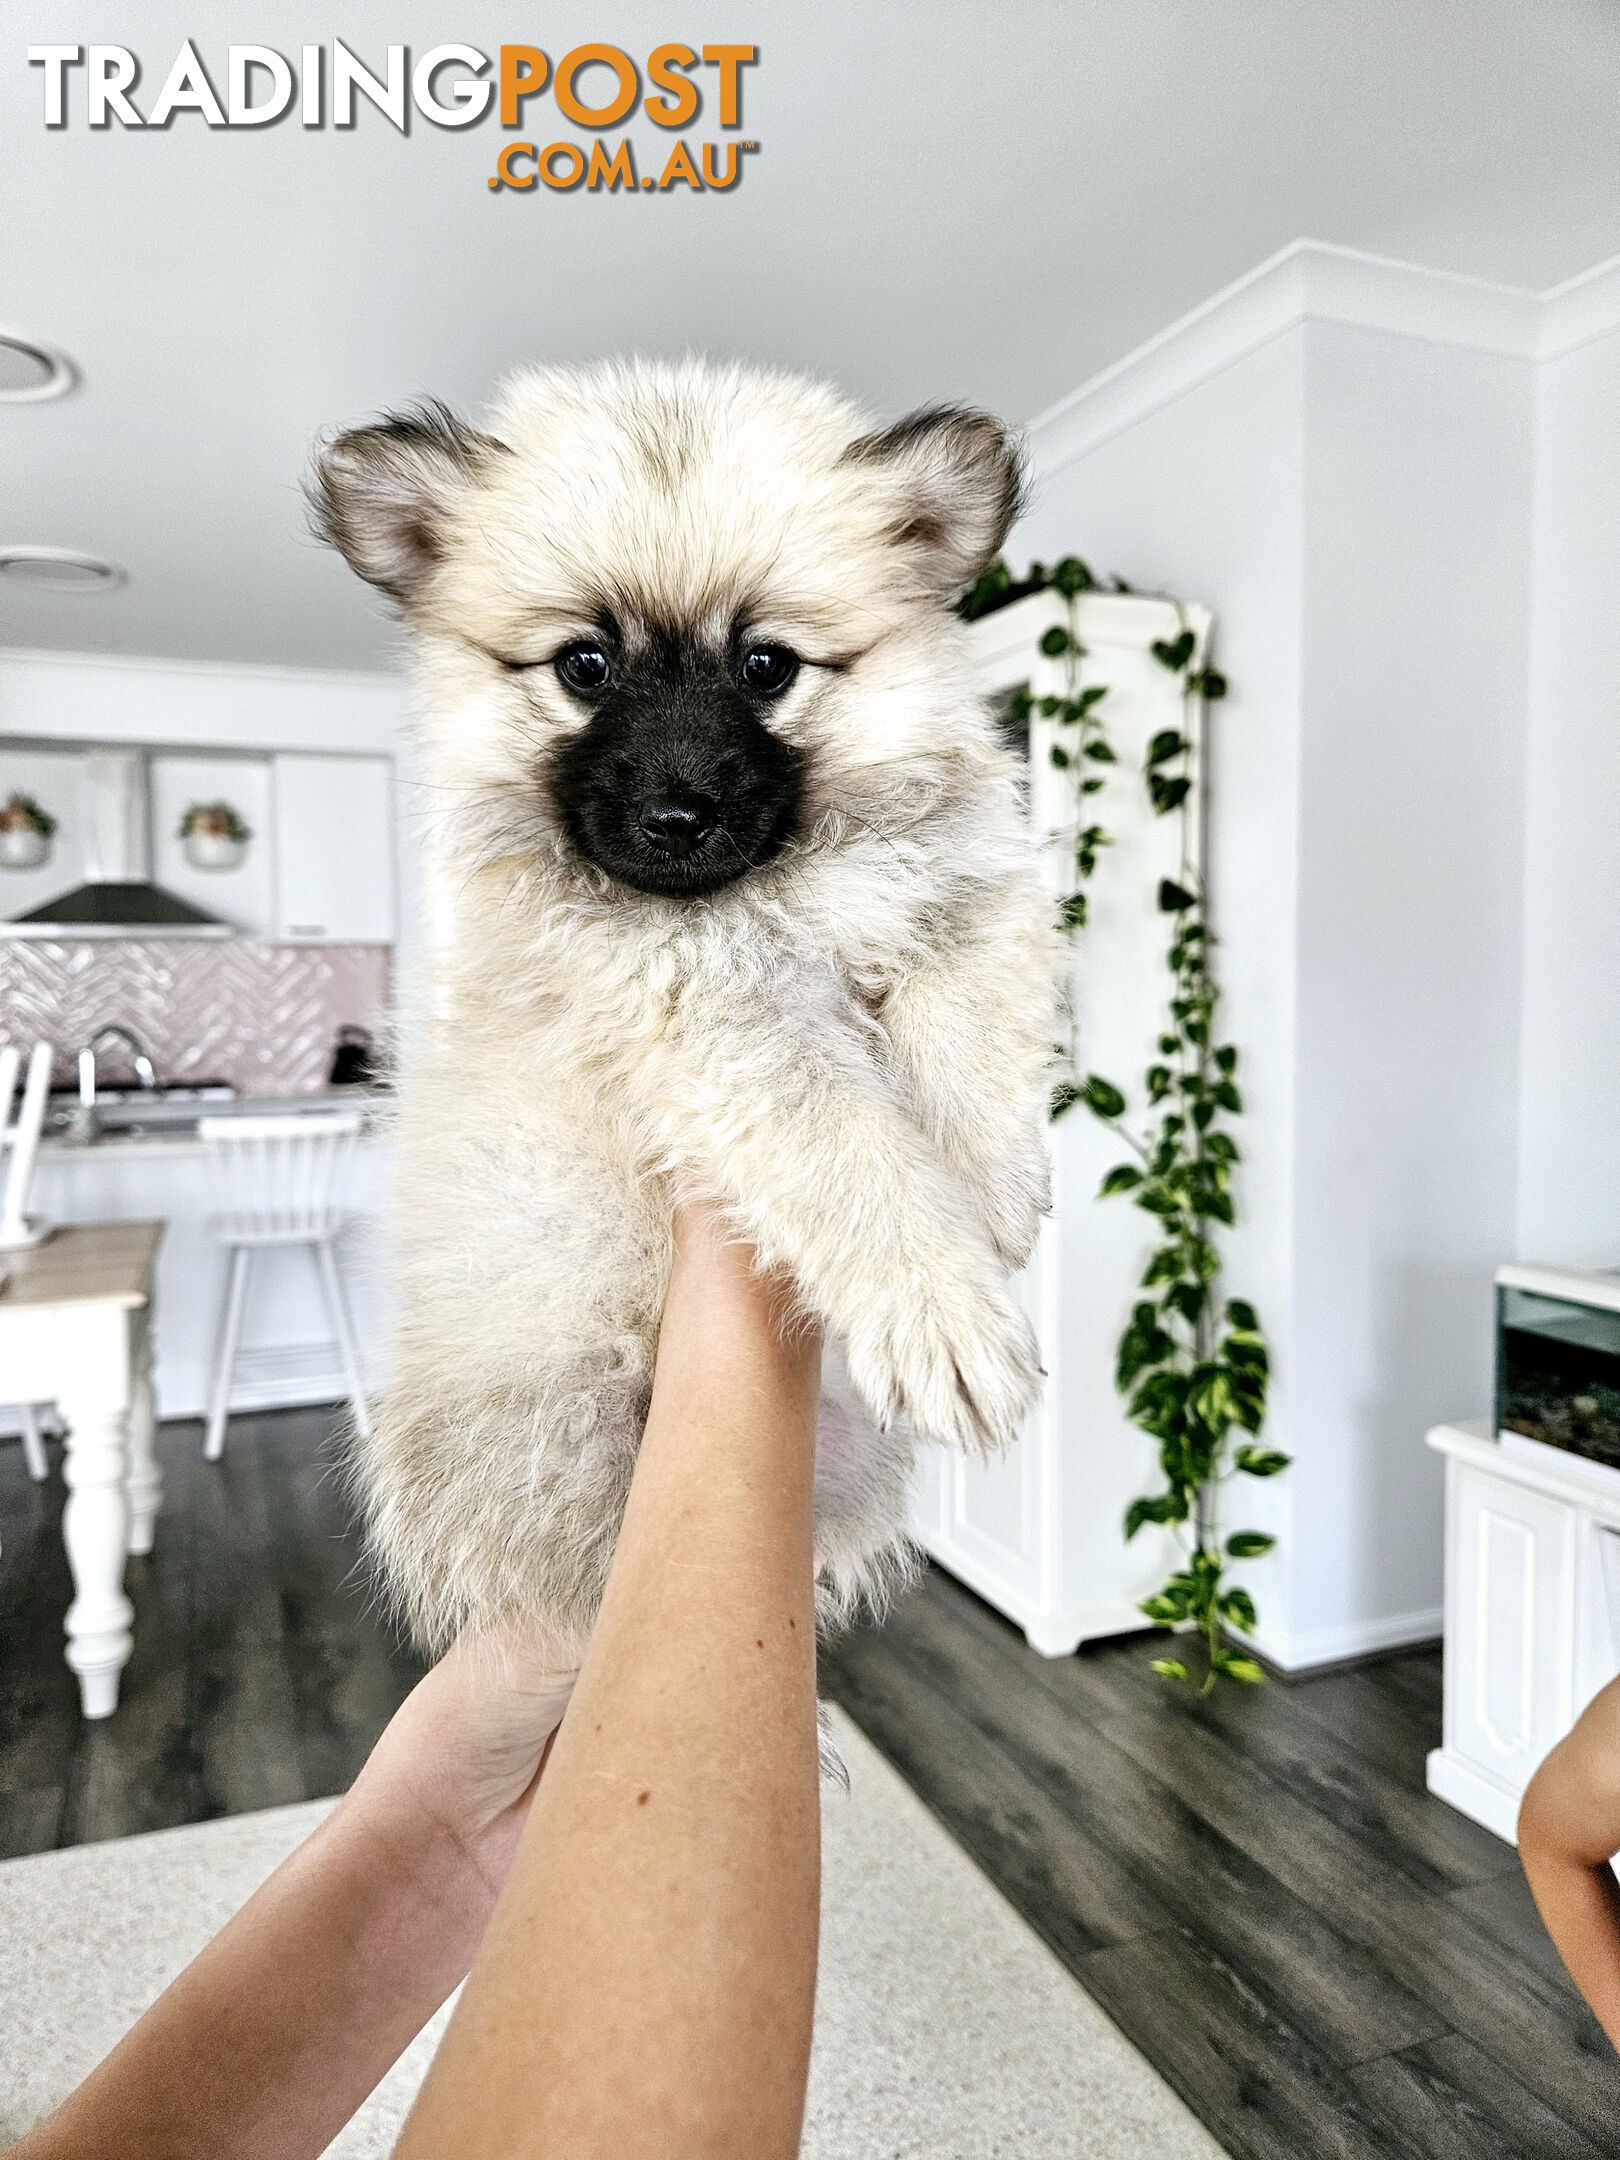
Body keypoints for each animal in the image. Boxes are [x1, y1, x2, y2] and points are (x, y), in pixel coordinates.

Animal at [313, 362, 1067, 1658]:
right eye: (584, 666)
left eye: (765, 667)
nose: (675, 818)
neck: (783, 880)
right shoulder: (722, 1030)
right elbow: (858, 1156)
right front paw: (943, 1309)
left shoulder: (968, 896)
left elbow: (969, 1023)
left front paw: (991, 1191)